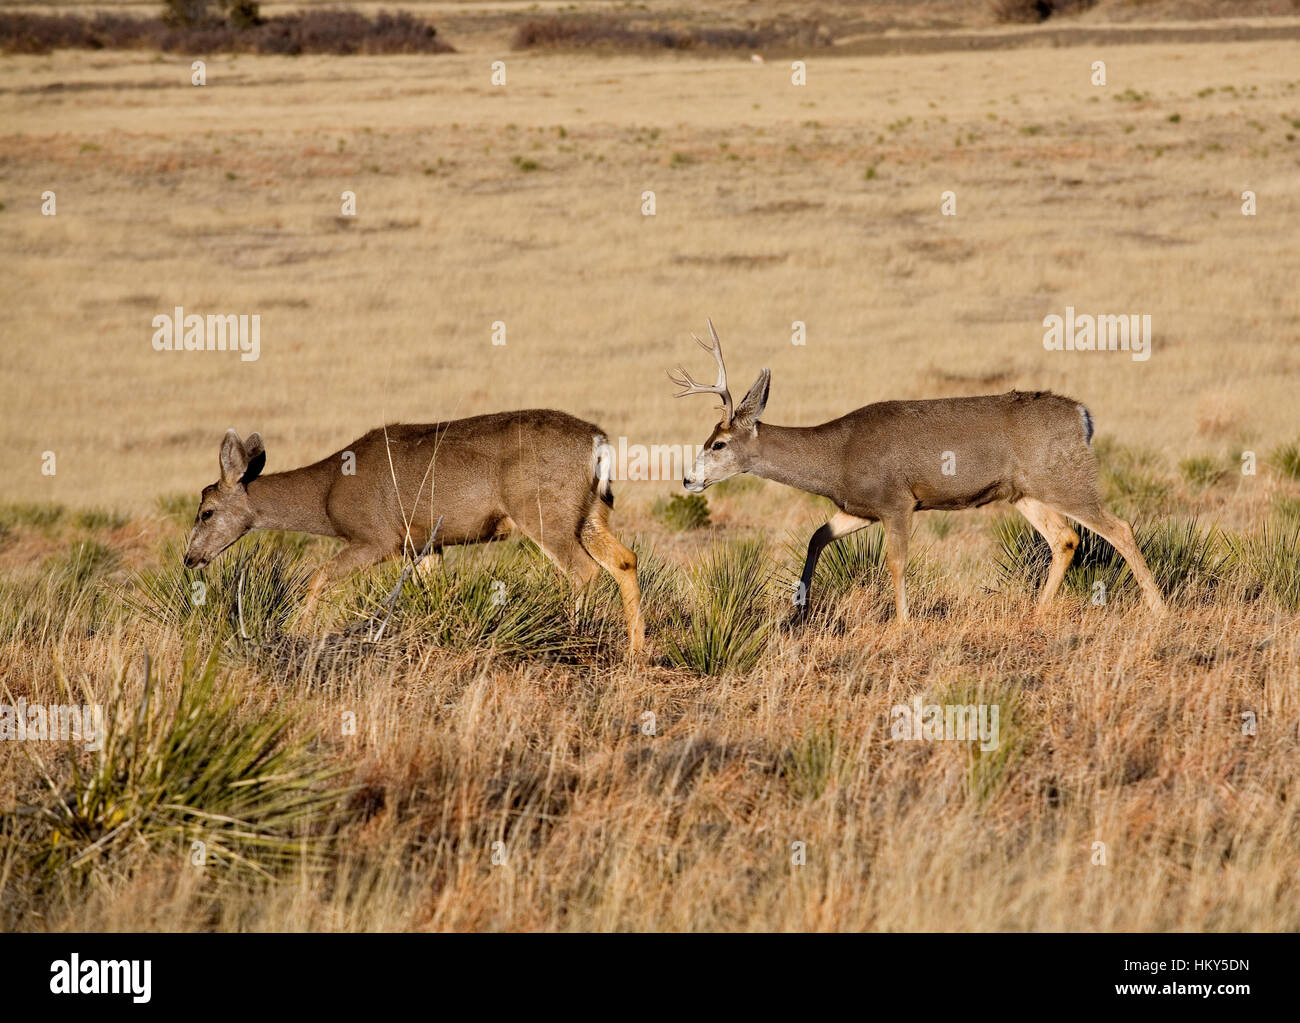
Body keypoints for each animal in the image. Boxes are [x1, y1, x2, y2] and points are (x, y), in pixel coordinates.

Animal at [180, 413, 647, 652]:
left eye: (206, 512)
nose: (190, 559)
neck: (329, 493)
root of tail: (599, 441)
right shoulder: (423, 544)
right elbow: (433, 587)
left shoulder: (376, 536)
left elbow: (319, 576)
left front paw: (296, 632)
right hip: (588, 512)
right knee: (625, 559)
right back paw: (637, 651)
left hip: (542, 510)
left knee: (583, 570)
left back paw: (572, 635)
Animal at [670, 323, 1170, 621]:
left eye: (717, 444)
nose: (689, 480)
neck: (837, 457)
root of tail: (1082, 417)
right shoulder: (859, 507)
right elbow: (816, 538)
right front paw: (798, 609)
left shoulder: (897, 501)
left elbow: (896, 562)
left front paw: (903, 622)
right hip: (1025, 491)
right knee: (1065, 538)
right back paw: (1038, 614)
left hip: (1066, 478)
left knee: (1118, 528)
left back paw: (1159, 610)